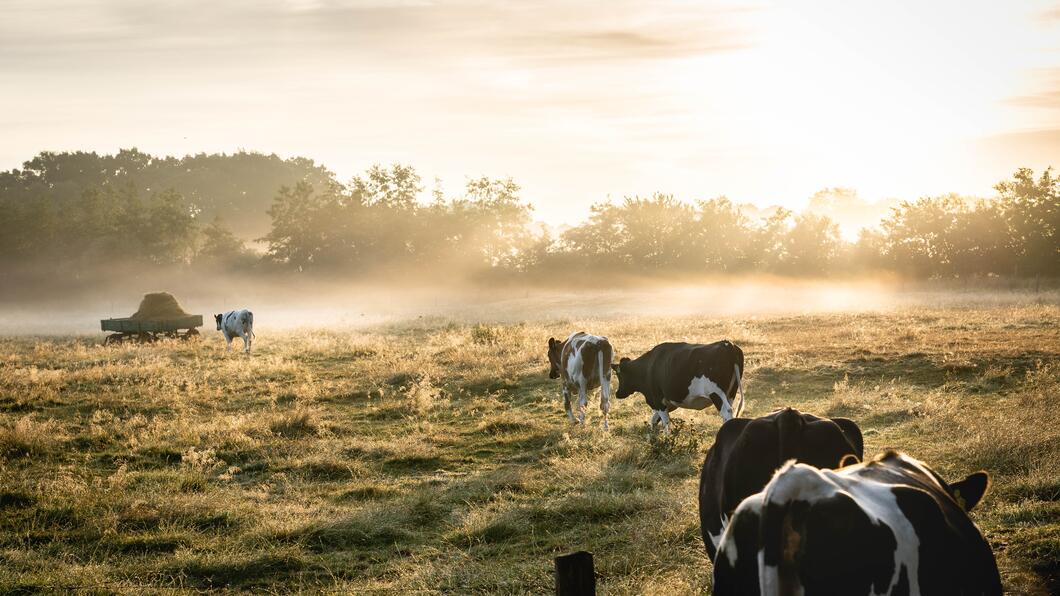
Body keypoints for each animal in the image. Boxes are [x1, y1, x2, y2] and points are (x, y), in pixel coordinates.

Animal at [610, 341, 750, 428]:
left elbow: (665, 422)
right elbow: (654, 420)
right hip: (730, 393)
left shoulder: (658, 400)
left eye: (619, 375)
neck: (649, 367)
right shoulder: (669, 403)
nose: (617, 393)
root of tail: (727, 344)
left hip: (716, 393)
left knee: (726, 411)